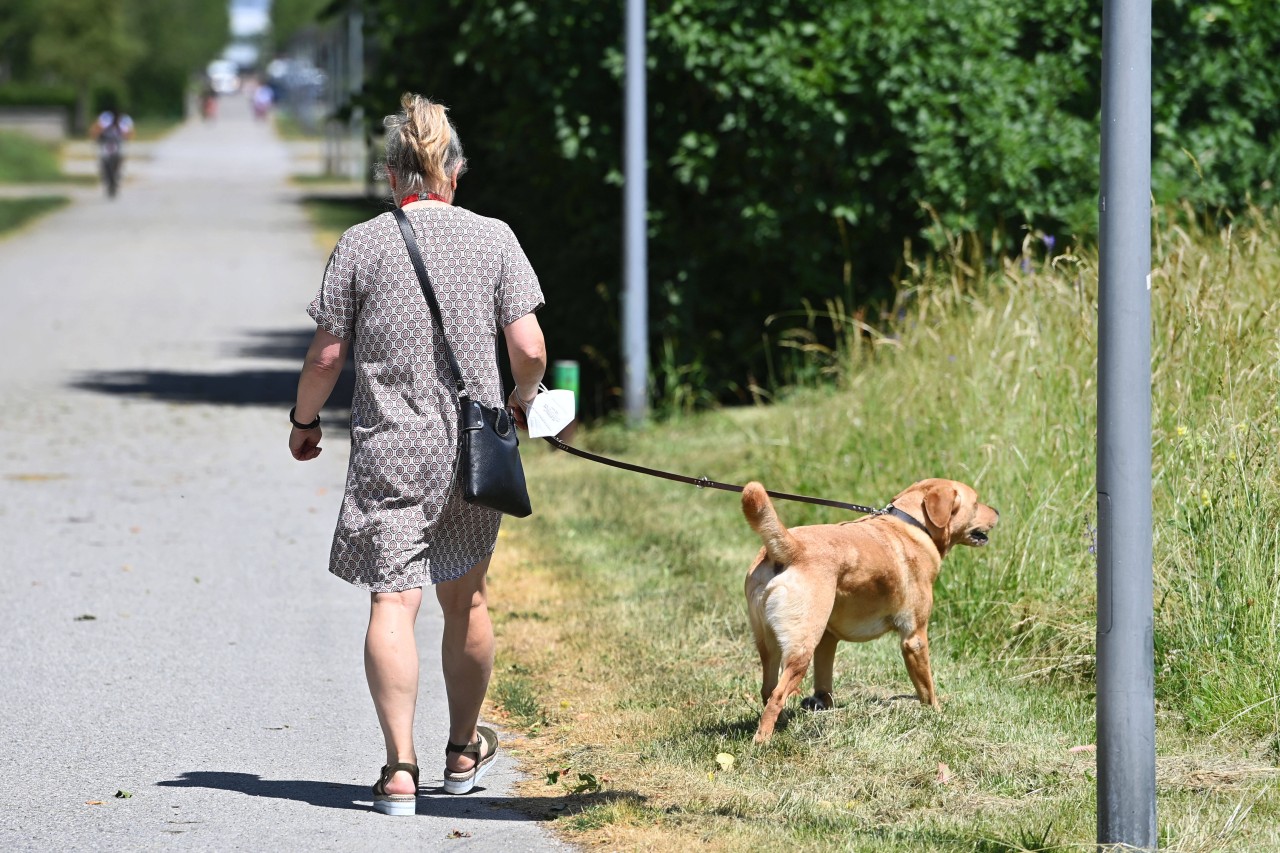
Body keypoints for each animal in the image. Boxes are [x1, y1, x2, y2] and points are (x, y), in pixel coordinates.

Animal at [742, 473, 998, 742]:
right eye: (976, 502)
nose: (998, 511)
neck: (914, 524)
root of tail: (789, 548)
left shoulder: (828, 638)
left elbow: (824, 683)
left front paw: (826, 711)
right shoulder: (914, 638)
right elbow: (926, 687)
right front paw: (936, 714)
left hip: (769, 644)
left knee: (767, 690)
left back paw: (779, 724)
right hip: (801, 648)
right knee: (777, 696)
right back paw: (763, 741)